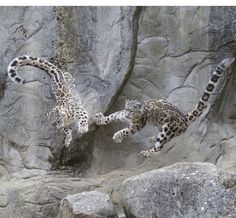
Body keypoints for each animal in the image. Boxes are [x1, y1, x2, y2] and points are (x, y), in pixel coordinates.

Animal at [94, 57, 234, 157]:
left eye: (133, 111)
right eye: (126, 108)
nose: (127, 115)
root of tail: (184, 118)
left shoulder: (137, 126)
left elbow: (125, 131)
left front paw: (117, 137)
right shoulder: (120, 114)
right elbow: (112, 116)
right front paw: (99, 119)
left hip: (167, 129)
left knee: (160, 147)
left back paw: (147, 152)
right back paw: (152, 138)